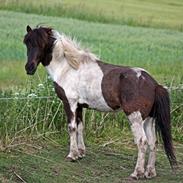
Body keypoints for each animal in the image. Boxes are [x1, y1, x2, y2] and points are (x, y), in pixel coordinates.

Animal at [23, 25, 177, 179]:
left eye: (42, 44)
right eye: (27, 43)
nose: (29, 68)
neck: (69, 68)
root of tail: (153, 84)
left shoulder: (70, 103)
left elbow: (72, 128)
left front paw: (72, 155)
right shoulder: (79, 106)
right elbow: (80, 127)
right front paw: (81, 153)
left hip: (136, 118)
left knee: (142, 141)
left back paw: (137, 173)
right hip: (148, 119)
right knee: (153, 142)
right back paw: (150, 172)